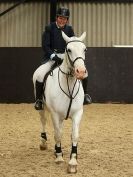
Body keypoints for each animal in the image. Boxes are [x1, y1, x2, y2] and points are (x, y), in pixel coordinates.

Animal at [32, 31, 88, 173]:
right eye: (69, 50)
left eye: (84, 49)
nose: (81, 72)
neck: (69, 84)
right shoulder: (55, 114)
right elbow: (57, 135)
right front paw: (59, 156)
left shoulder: (77, 113)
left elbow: (74, 135)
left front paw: (73, 162)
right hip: (42, 108)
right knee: (43, 121)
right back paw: (44, 143)